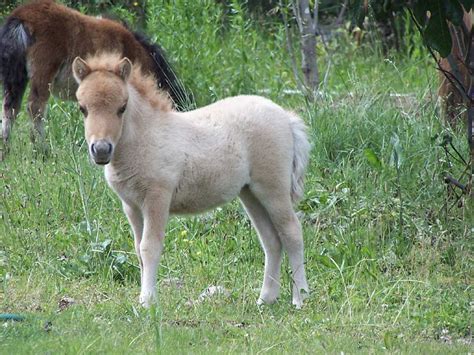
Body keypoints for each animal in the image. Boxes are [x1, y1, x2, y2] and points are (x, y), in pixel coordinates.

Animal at [0, 0, 189, 150]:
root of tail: (21, 17)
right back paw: (41, 151)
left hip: (16, 77)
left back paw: (6, 150)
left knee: (10, 108)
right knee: (35, 107)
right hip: (43, 73)